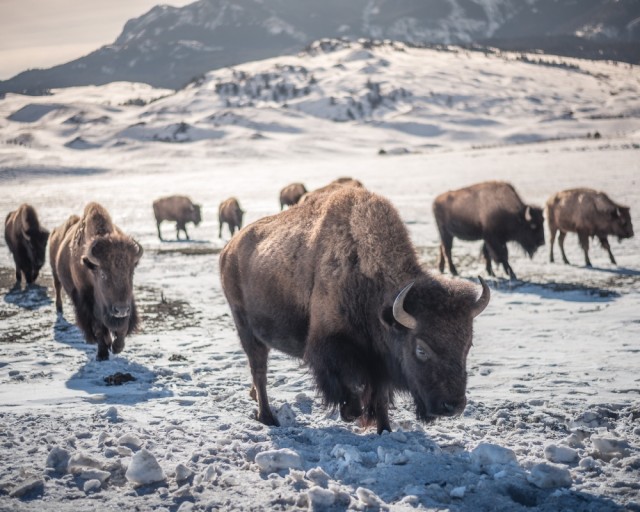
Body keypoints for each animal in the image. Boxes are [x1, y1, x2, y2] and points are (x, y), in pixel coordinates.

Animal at [49, 202, 142, 362]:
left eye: (131, 273)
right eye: (103, 274)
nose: (121, 310)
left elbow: (122, 328)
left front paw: (117, 347)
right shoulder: (89, 302)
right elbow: (98, 327)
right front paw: (102, 354)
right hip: (55, 273)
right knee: (57, 287)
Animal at [220, 186, 490, 434]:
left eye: (467, 345)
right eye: (421, 349)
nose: (453, 406)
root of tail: (229, 249)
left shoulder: (380, 360)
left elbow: (380, 397)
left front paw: (384, 429)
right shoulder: (331, 348)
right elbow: (353, 390)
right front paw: (352, 414)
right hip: (247, 330)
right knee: (259, 371)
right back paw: (268, 418)